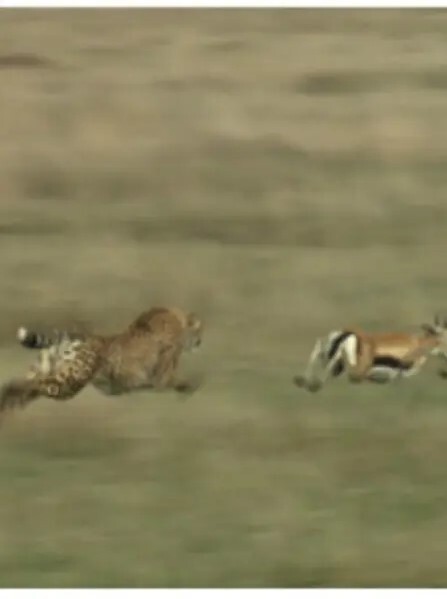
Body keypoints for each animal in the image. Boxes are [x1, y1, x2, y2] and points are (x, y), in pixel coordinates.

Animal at [294, 313, 447, 393]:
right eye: (444, 337)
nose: (445, 355)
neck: (417, 343)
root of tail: (346, 333)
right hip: (350, 365)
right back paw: (314, 385)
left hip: (330, 352)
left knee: (318, 346)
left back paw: (304, 382)